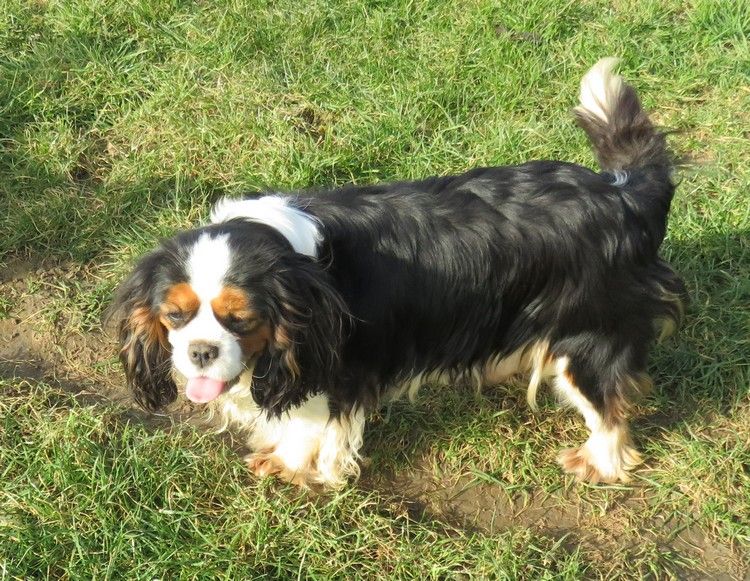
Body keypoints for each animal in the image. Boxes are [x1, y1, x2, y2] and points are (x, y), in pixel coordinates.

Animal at [110, 58, 686, 488]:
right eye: (175, 317)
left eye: (241, 320)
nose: (200, 353)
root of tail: (621, 196)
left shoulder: (329, 368)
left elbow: (306, 422)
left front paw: (289, 465)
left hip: (587, 337)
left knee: (608, 409)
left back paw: (600, 464)